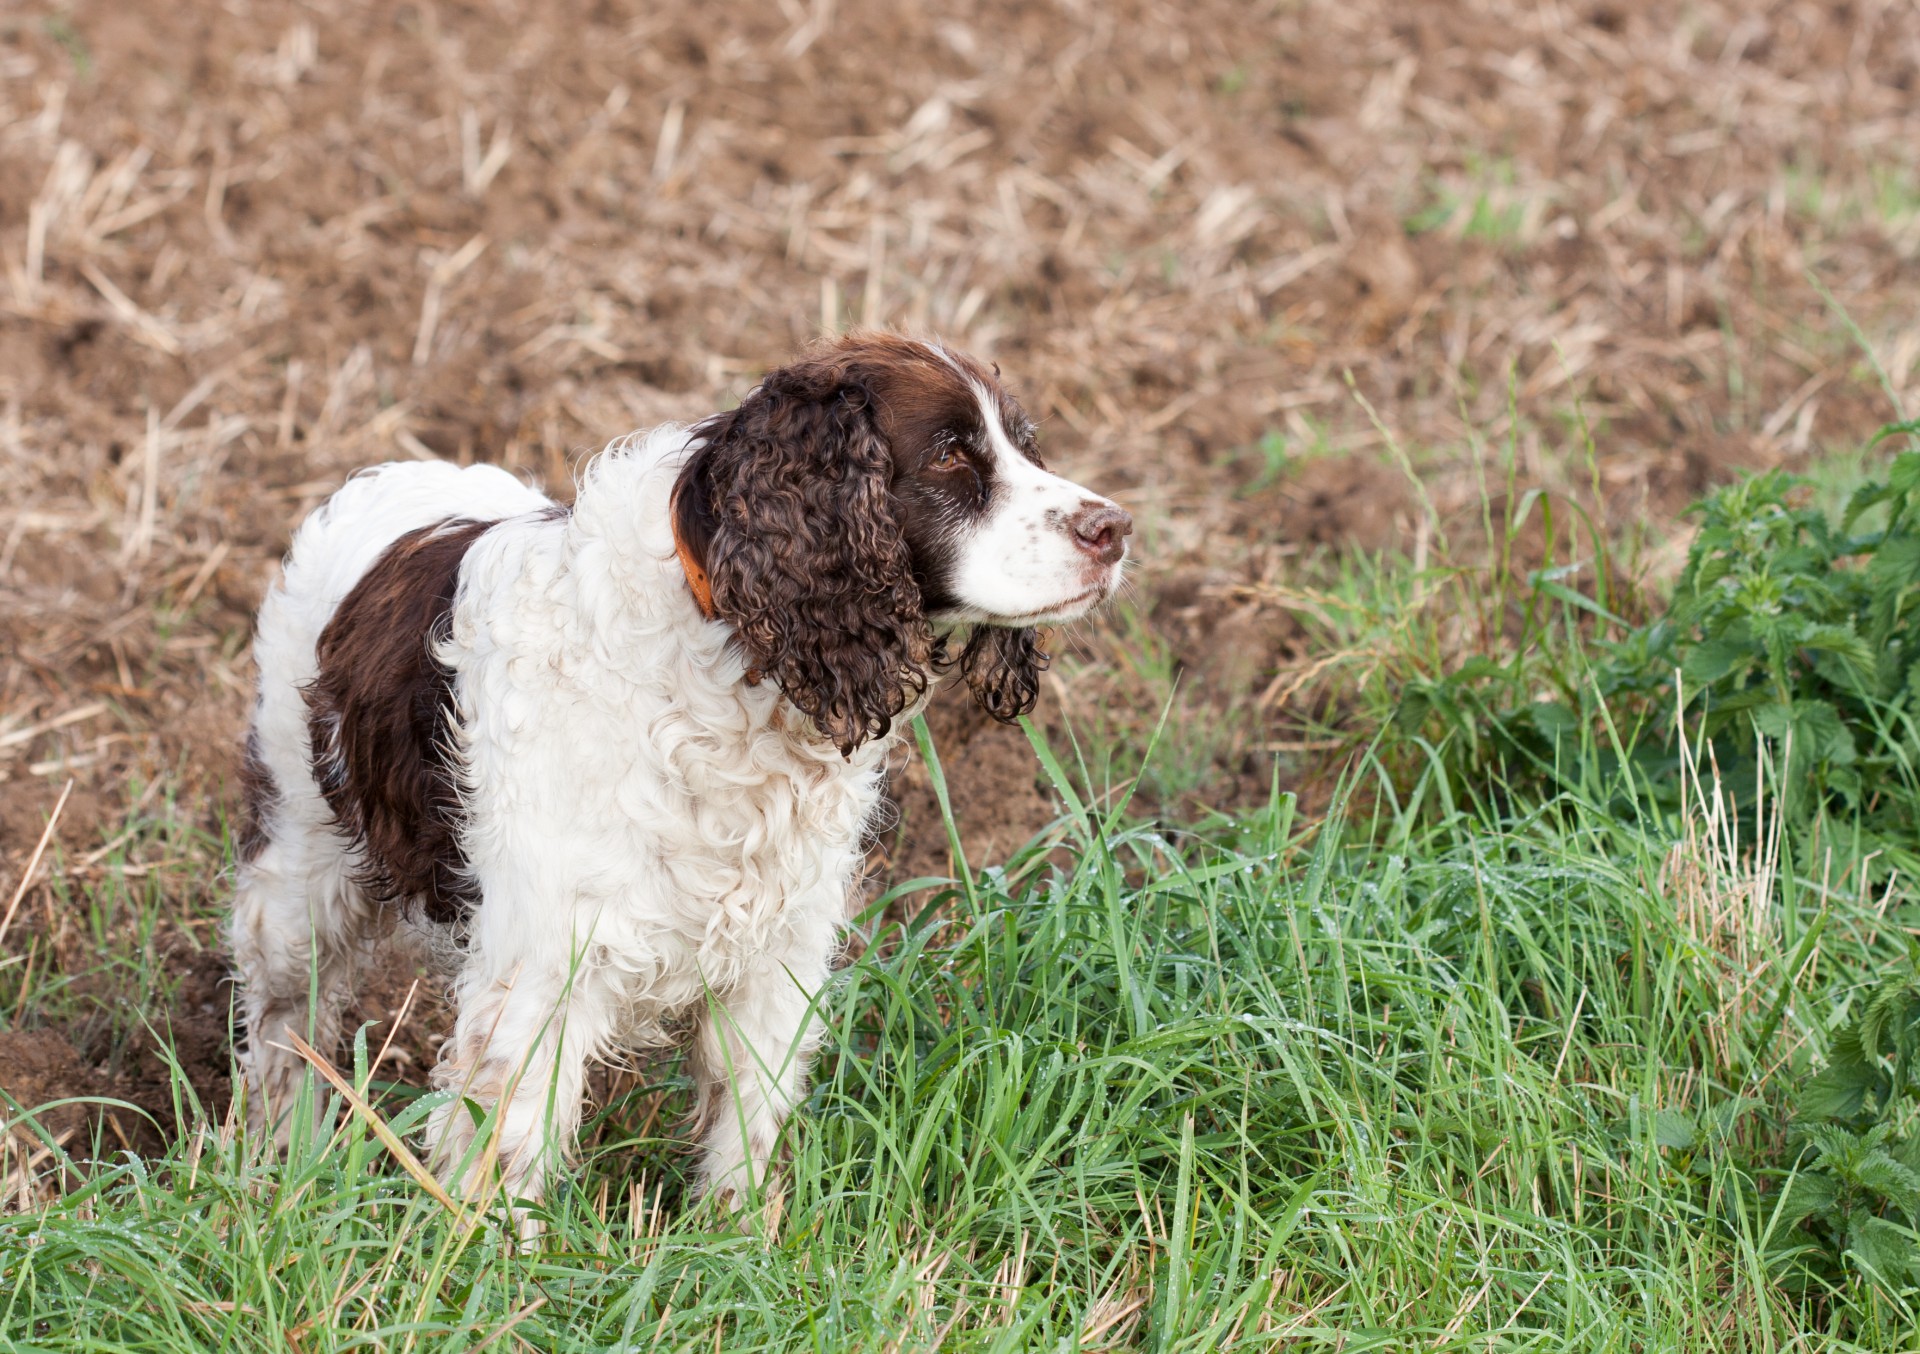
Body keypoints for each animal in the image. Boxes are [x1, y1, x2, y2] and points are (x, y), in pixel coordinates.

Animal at [226, 332, 1128, 1206]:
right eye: (948, 454)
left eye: (1025, 446)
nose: (1116, 527)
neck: (732, 663)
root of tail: (390, 475)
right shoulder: (545, 962)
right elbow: (506, 1147)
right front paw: (493, 1256)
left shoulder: (780, 951)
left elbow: (747, 1123)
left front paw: (744, 1240)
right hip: (300, 865)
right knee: (282, 1017)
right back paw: (278, 1157)